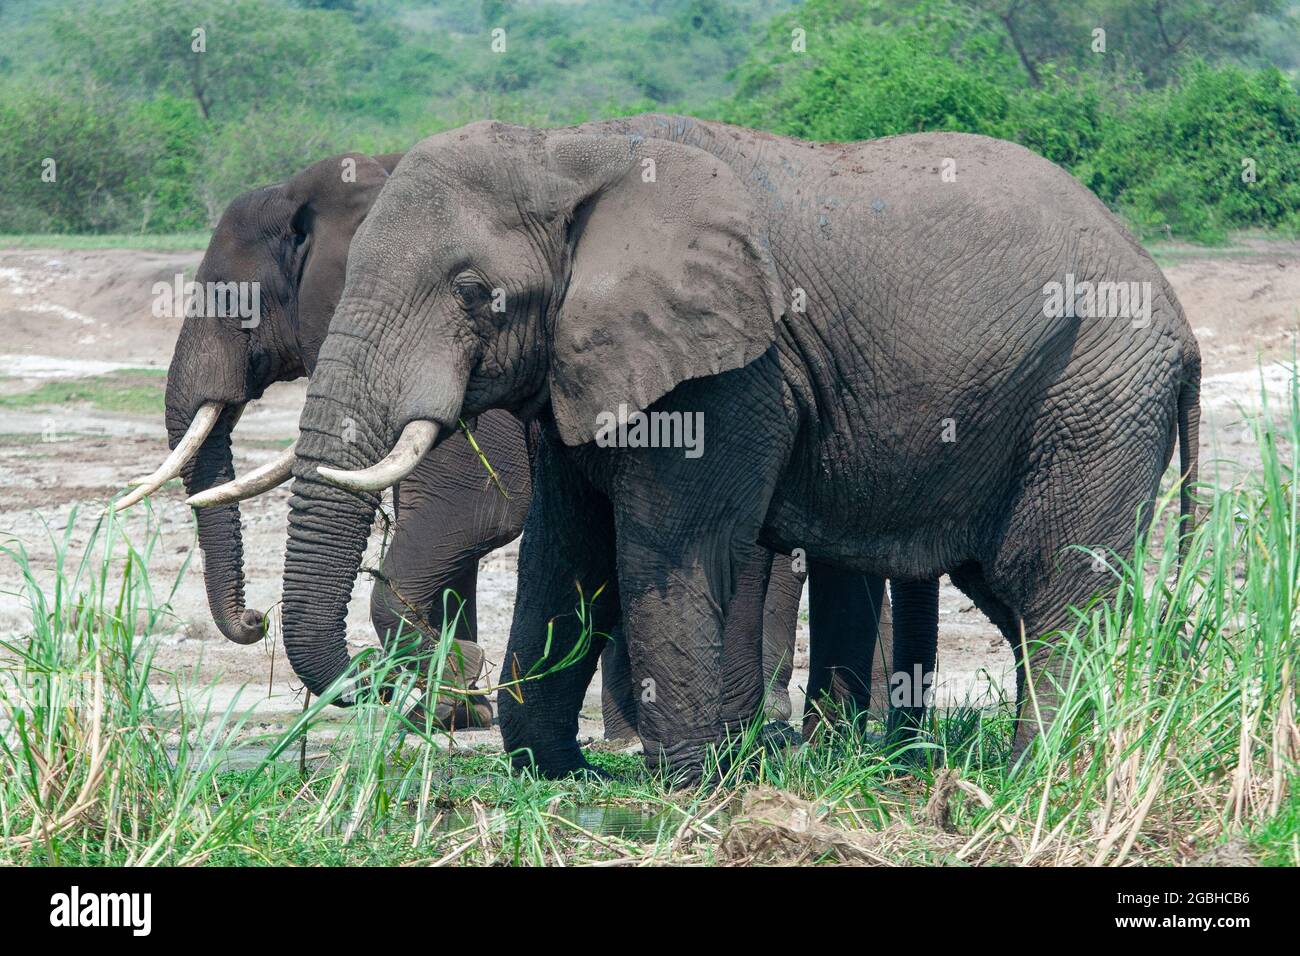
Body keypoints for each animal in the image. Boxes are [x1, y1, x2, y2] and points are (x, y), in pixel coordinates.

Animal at [282, 115, 1196, 780]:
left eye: (474, 292)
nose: (449, 672)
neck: (573, 147)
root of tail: (1179, 321)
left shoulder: (730, 373)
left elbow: (670, 549)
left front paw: (687, 788)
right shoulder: (584, 365)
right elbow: (567, 554)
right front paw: (556, 773)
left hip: (1097, 395)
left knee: (1056, 587)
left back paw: (1046, 774)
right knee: (1021, 591)